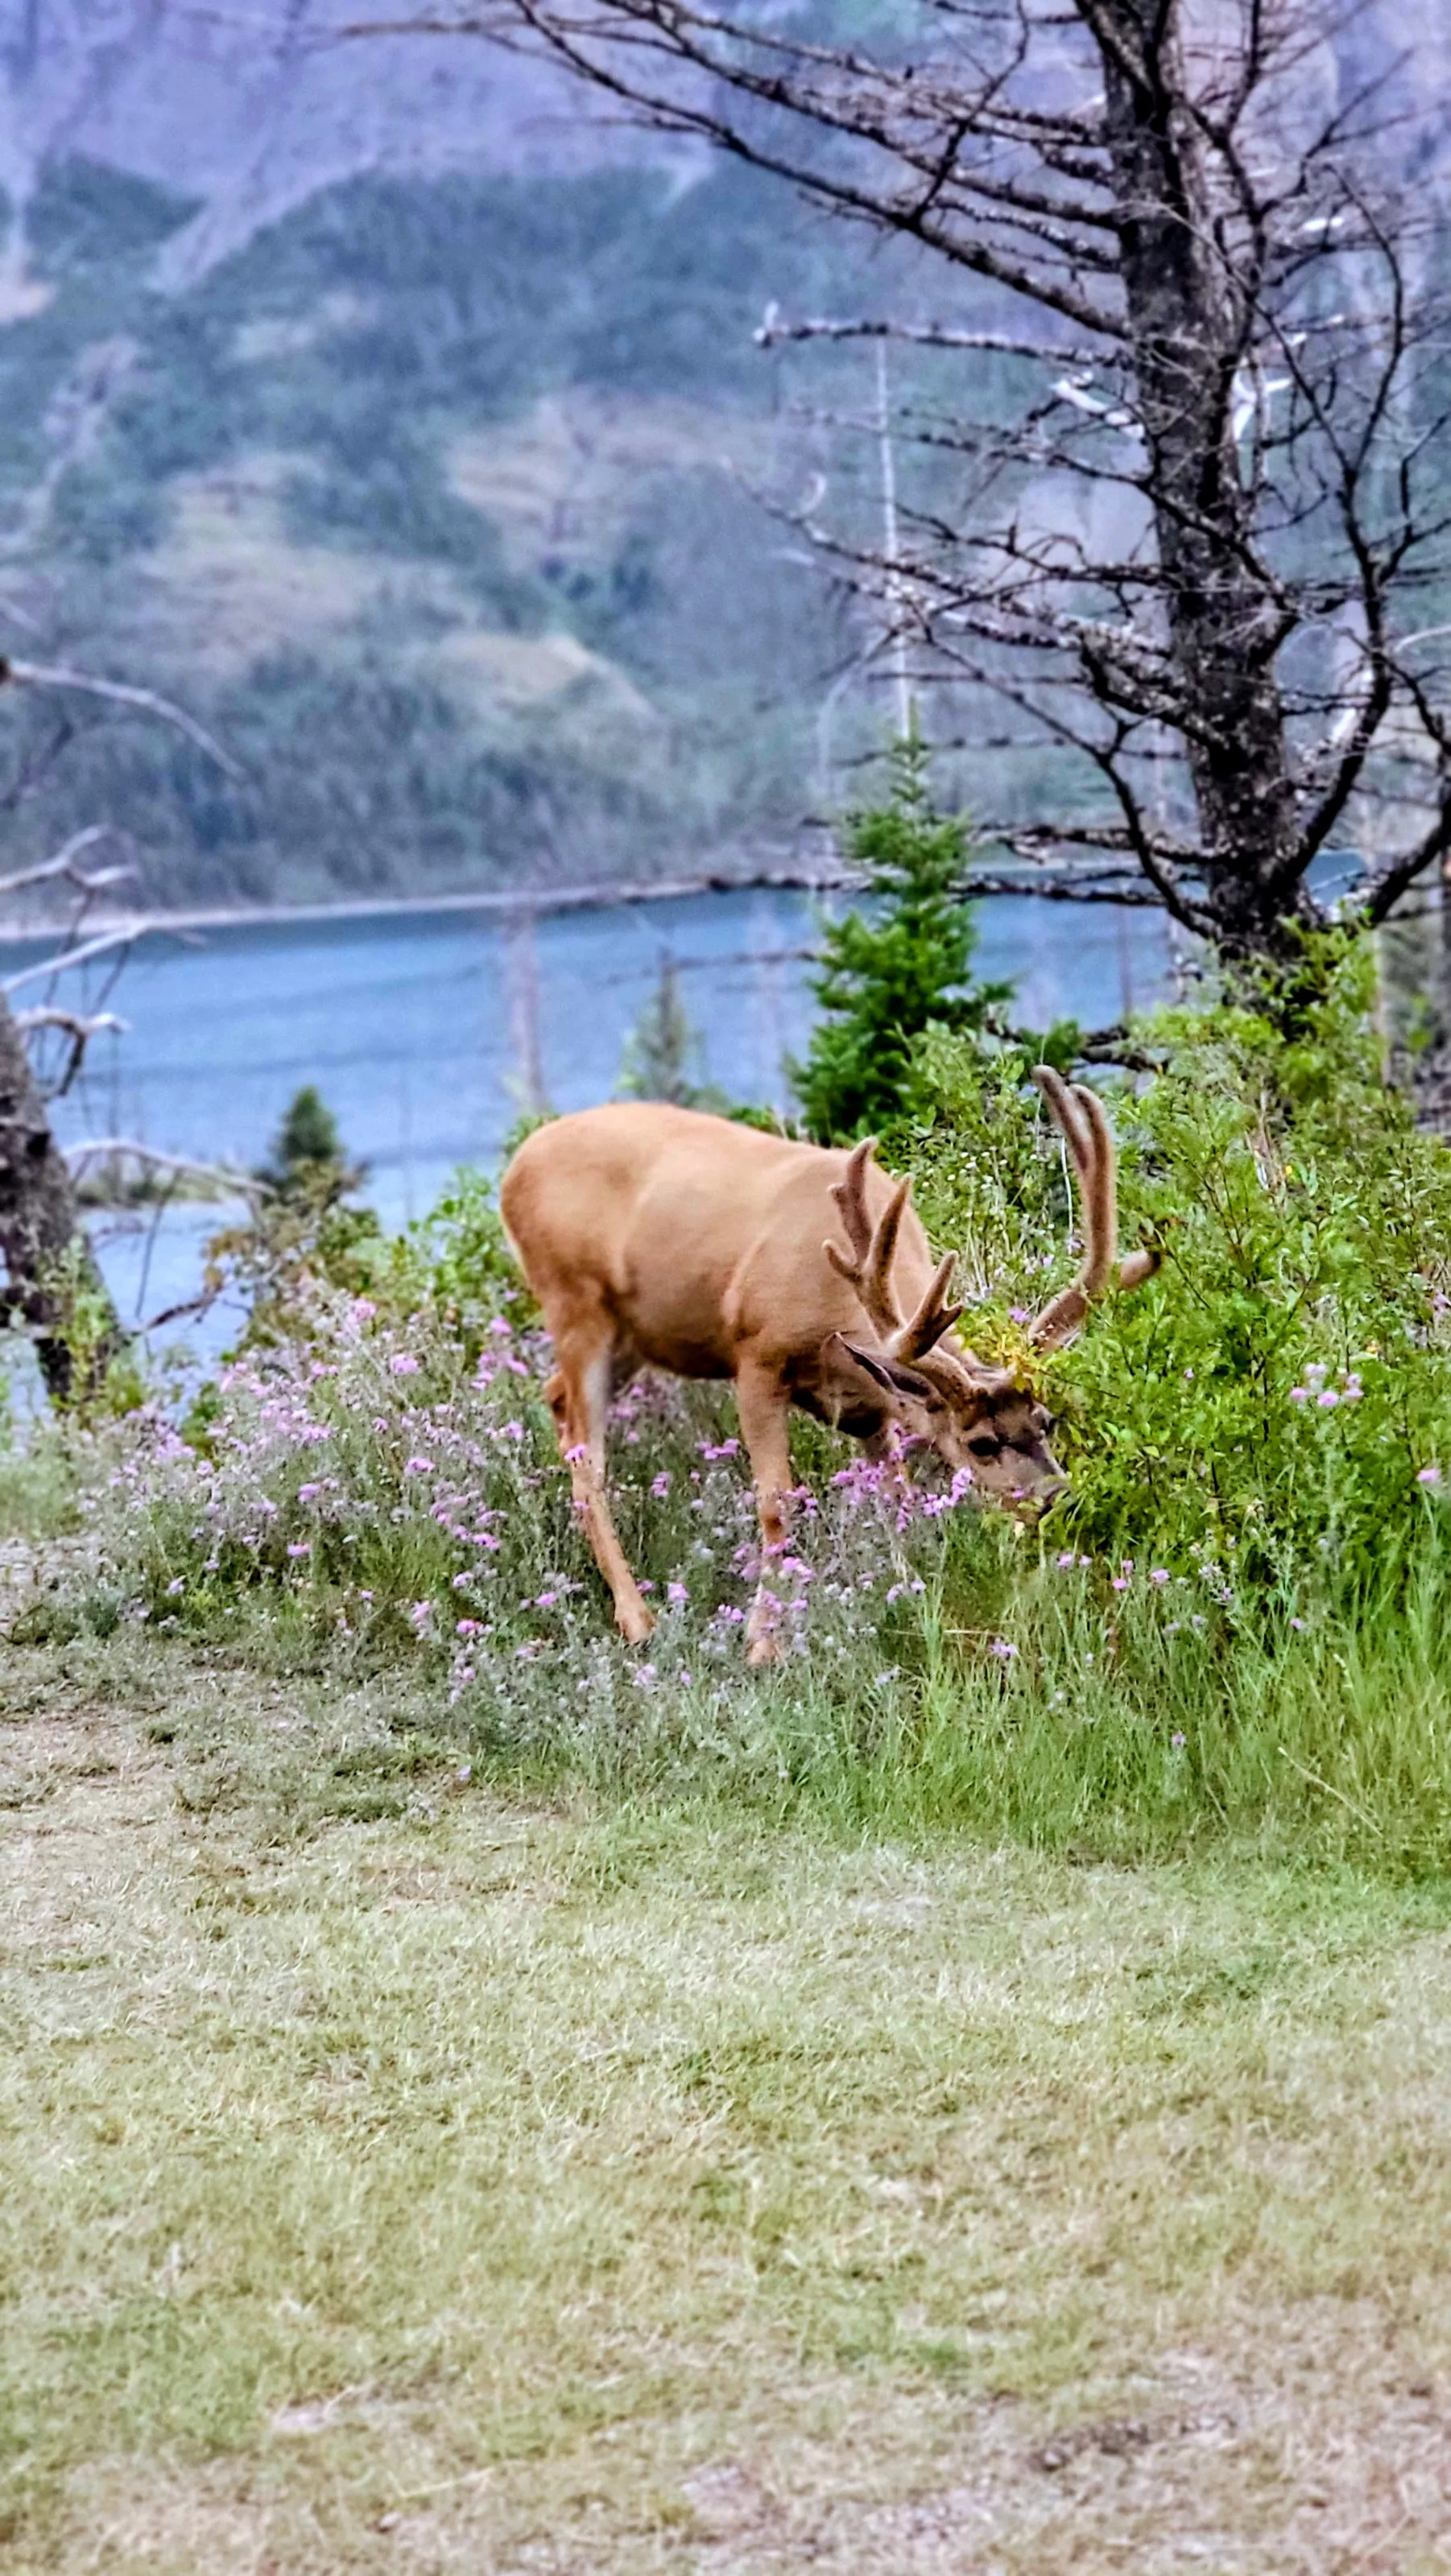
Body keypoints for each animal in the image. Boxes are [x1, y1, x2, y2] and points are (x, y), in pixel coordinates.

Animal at [499, 1068, 1158, 1662]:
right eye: (981, 1444)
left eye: (1047, 1421)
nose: (1059, 1499)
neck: (835, 1307)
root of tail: (514, 1169)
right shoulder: (756, 1357)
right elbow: (776, 1503)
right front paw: (762, 1644)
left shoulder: (868, 1404)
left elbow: (895, 1495)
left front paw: (907, 1592)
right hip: (574, 1303)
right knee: (587, 1460)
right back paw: (638, 1620)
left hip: (634, 1337)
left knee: (555, 1399)